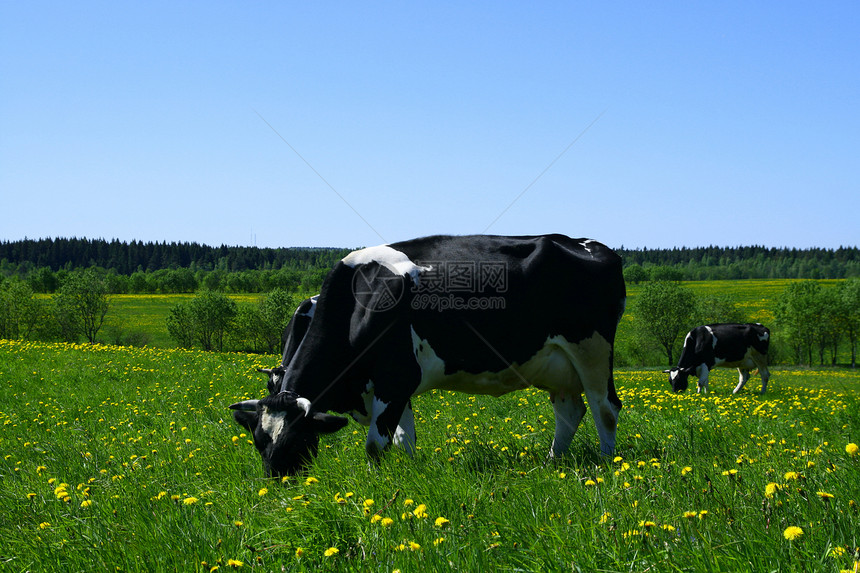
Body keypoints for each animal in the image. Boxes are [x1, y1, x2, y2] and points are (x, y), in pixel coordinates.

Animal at [232, 235, 628, 476]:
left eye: (297, 440)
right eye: (259, 442)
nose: (279, 484)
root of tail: (591, 245)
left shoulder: (396, 378)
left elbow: (375, 445)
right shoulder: (390, 386)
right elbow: (403, 439)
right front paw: (408, 478)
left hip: (592, 350)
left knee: (605, 409)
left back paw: (607, 464)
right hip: (557, 364)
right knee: (570, 411)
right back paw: (551, 462)